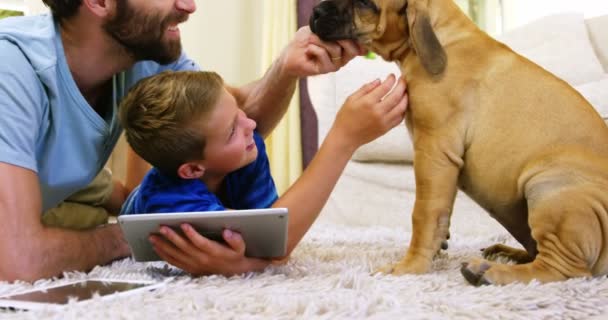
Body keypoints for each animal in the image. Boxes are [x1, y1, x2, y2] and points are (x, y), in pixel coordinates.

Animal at [308, 0, 608, 284]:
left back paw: (490, 272)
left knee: (563, 269)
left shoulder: (434, 152)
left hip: (549, 187)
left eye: (365, 4)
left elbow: (424, 213)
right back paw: (507, 254)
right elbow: (440, 212)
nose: (315, 12)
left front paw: (409, 266)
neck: (441, 39)